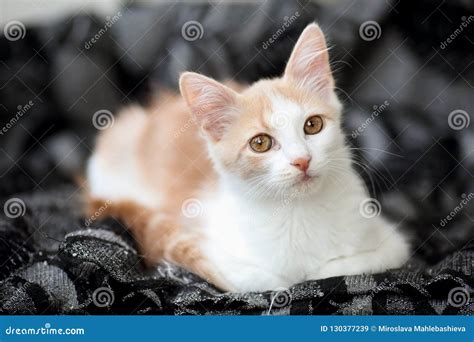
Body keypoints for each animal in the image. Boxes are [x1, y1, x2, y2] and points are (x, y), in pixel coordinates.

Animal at [86, 23, 412, 292]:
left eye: (313, 125)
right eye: (260, 143)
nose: (302, 160)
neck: (298, 211)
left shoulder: (391, 242)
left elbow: (347, 266)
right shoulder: (213, 248)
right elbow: (267, 280)